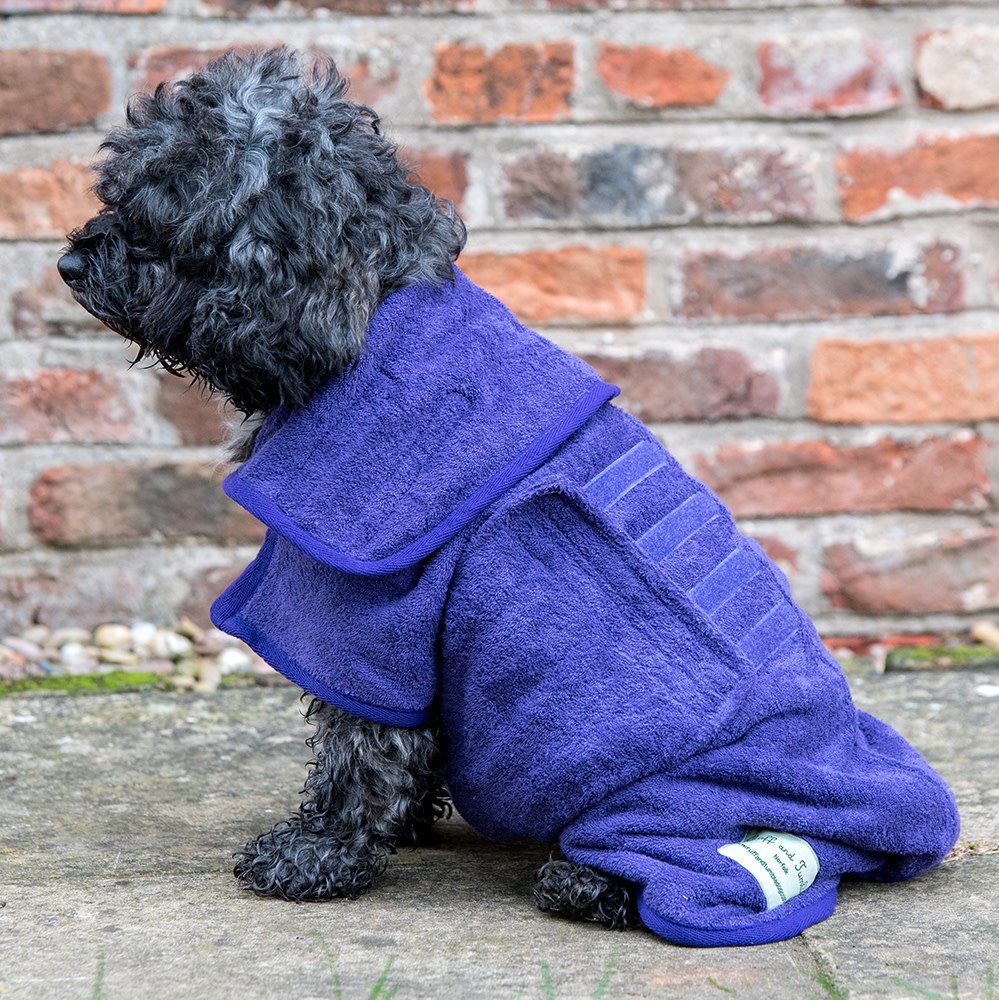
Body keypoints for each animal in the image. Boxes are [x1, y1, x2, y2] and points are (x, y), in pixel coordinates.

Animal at [60, 48, 640, 928]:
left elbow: (361, 745)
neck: (362, 313)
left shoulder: (373, 622)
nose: (67, 263)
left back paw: (590, 880)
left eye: (155, 211)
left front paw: (319, 852)